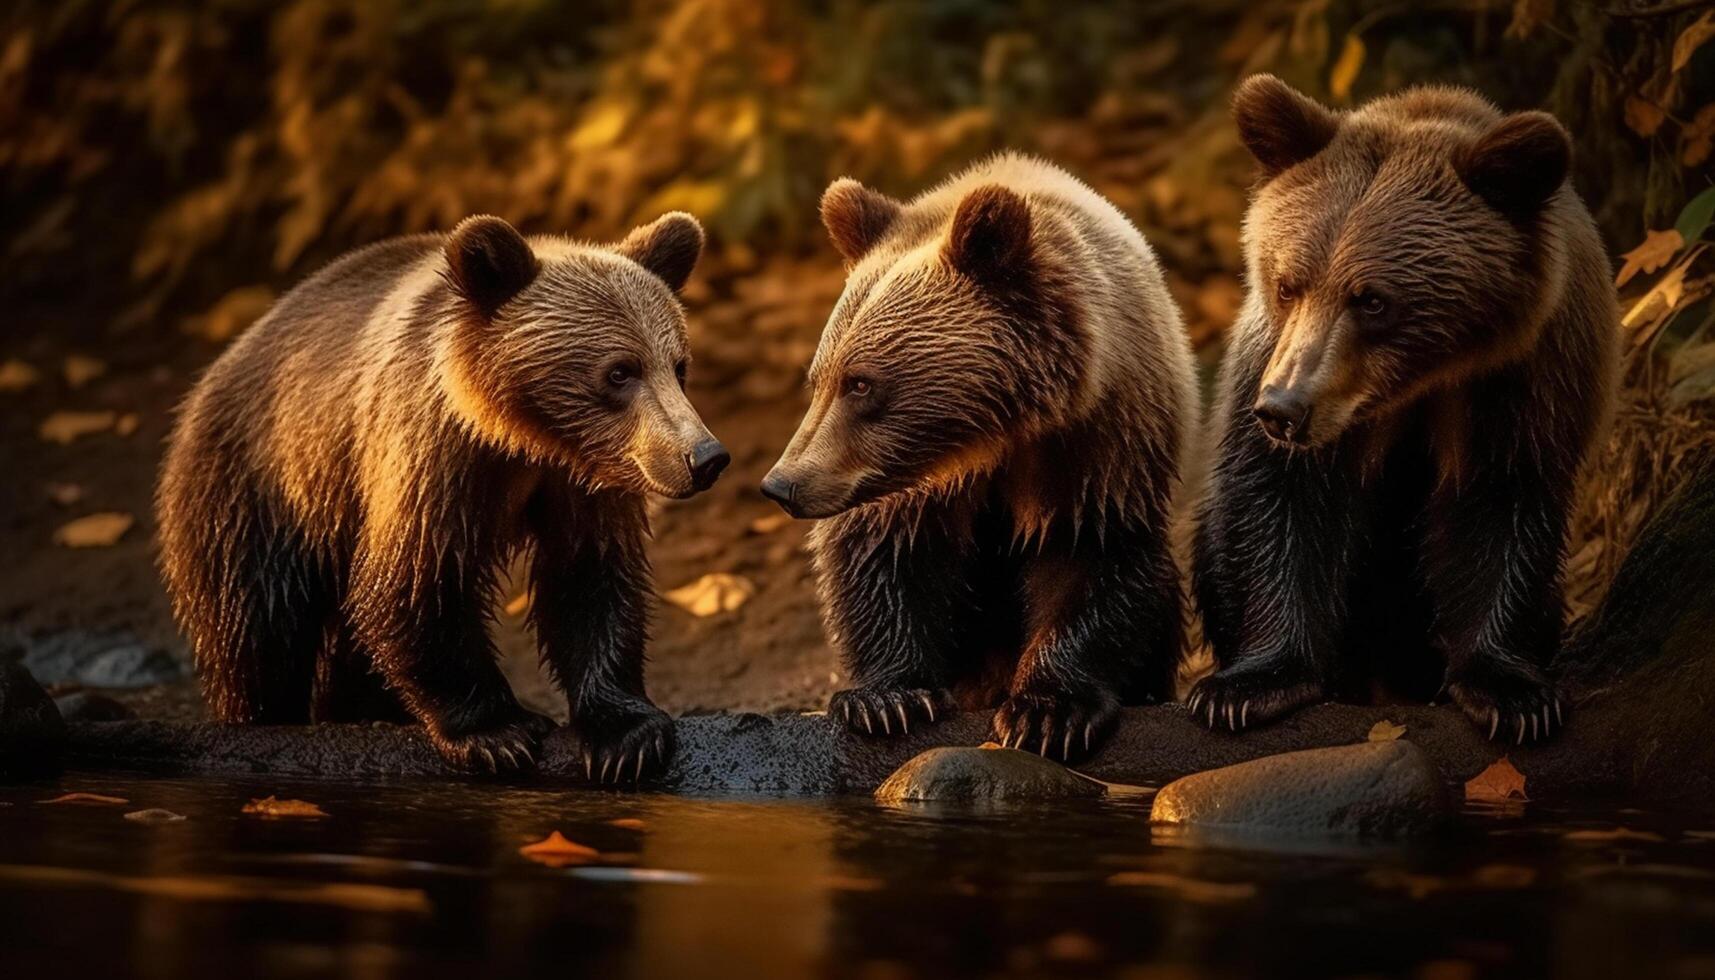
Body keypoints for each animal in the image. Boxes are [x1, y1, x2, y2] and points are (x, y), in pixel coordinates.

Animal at [154, 214, 730, 782]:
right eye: (619, 371)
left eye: (678, 365)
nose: (704, 457)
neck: (525, 437)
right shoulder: (430, 459)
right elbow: (415, 582)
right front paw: (497, 733)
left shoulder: (586, 484)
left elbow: (590, 581)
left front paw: (625, 737)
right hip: (259, 487)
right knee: (257, 630)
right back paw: (263, 718)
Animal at [764, 155, 1193, 765]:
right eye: (819, 379)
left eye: (861, 383)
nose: (783, 484)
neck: (995, 435)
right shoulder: (903, 485)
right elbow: (881, 555)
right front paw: (885, 701)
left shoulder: (1100, 444)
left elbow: (1089, 555)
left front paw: (1046, 713)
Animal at [1193, 76, 1618, 741]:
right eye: (1288, 284)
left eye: (1371, 299)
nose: (1283, 408)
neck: (1418, 382)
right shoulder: (1274, 363)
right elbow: (1281, 502)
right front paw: (1246, 686)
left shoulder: (1523, 381)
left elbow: (1501, 505)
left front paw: (1511, 694)